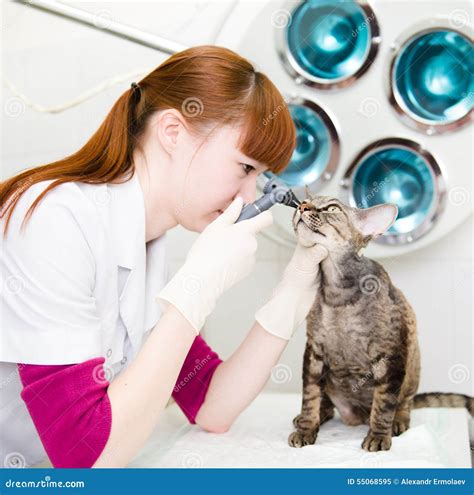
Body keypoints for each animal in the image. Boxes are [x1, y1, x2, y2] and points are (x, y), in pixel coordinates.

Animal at [290, 196, 472, 452]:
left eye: (332, 208)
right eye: (307, 200)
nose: (302, 206)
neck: (337, 295)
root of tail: (354, 417)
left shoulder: (390, 354)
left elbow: (384, 402)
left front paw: (378, 435)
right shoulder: (314, 351)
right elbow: (310, 395)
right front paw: (306, 428)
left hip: (413, 367)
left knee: (404, 402)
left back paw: (398, 421)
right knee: (327, 402)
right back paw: (316, 416)